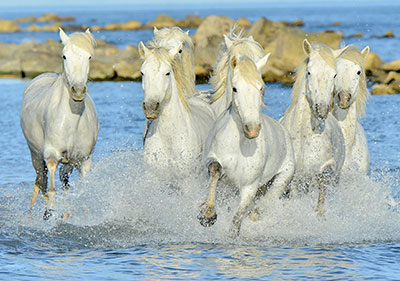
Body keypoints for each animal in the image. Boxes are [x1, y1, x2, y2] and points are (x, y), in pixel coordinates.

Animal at [20, 28, 99, 217]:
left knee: (63, 184)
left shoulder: (84, 161)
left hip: (69, 163)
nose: (78, 91)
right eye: (64, 56)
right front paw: (48, 216)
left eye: (89, 57)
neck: (71, 122)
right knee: (41, 184)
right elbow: (51, 193)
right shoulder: (52, 157)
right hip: (35, 155)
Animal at [280, 38, 346, 214]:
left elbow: (320, 201)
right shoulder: (295, 179)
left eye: (334, 74)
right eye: (309, 72)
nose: (321, 109)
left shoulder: (322, 170)